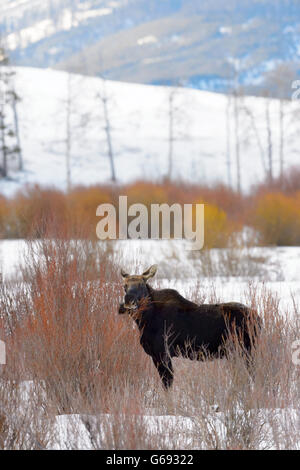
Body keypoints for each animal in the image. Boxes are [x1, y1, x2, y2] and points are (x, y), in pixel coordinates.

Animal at [118, 264, 262, 390]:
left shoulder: (163, 353)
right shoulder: (156, 355)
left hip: (246, 350)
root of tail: (260, 319)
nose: (128, 300)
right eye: (125, 286)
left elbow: (167, 384)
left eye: (141, 285)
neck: (144, 320)